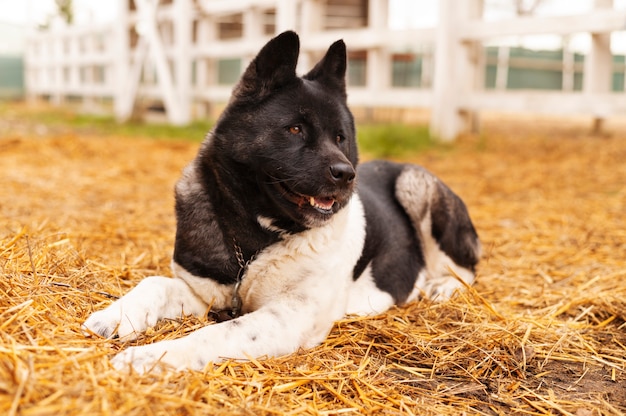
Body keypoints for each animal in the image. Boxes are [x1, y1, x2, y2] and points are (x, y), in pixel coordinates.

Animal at [81, 30, 478, 372]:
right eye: (295, 129)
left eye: (340, 137)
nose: (346, 174)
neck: (258, 234)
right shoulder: (204, 292)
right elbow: (155, 284)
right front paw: (116, 316)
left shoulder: (288, 316)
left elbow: (215, 333)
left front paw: (151, 357)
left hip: (416, 185)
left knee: (466, 271)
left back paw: (442, 285)